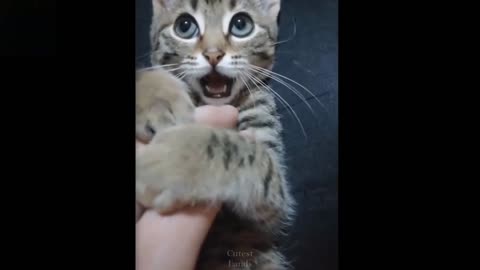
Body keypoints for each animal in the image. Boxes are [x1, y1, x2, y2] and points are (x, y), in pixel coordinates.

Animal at [133, 1, 294, 268]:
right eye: (184, 26)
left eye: (241, 24)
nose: (213, 54)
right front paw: (156, 96)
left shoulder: (274, 208)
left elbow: (253, 156)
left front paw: (171, 162)